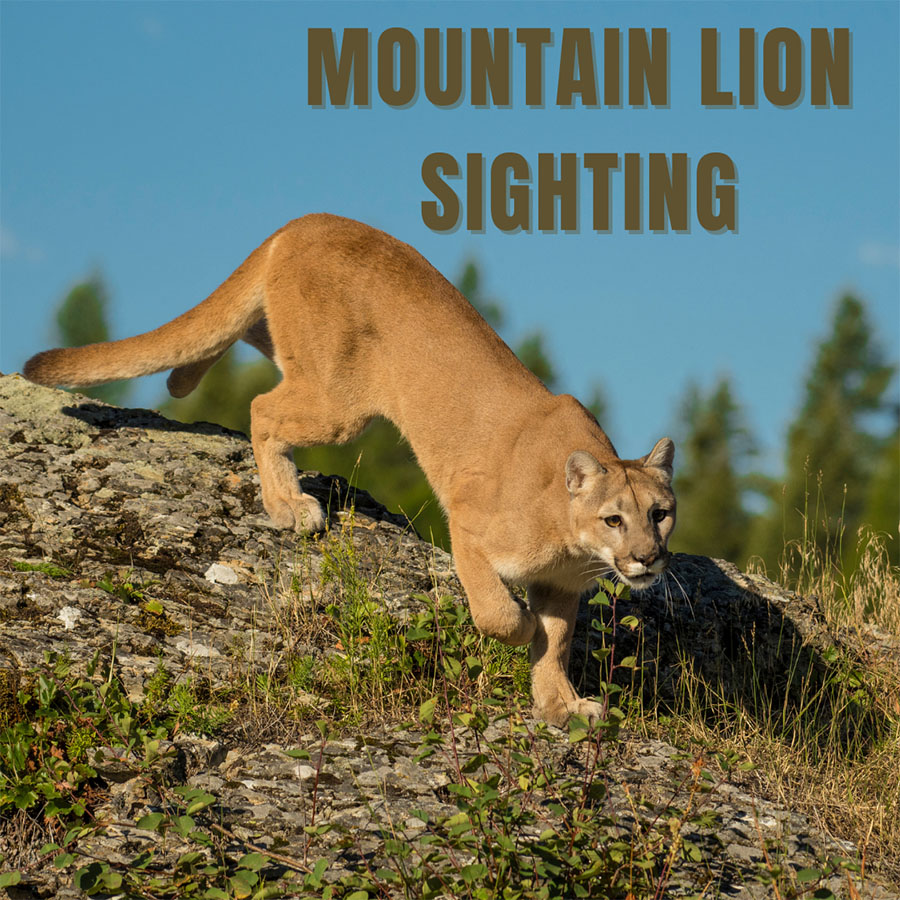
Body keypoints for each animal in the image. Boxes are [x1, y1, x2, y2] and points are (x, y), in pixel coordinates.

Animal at [22, 214, 676, 728]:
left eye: (661, 515)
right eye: (614, 519)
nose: (648, 558)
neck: (571, 537)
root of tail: (304, 222)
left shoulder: (562, 586)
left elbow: (556, 643)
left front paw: (561, 705)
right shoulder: (469, 525)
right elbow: (505, 617)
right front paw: (522, 635)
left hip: (302, 359)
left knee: (227, 341)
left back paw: (184, 381)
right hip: (338, 402)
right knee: (262, 407)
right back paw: (289, 505)